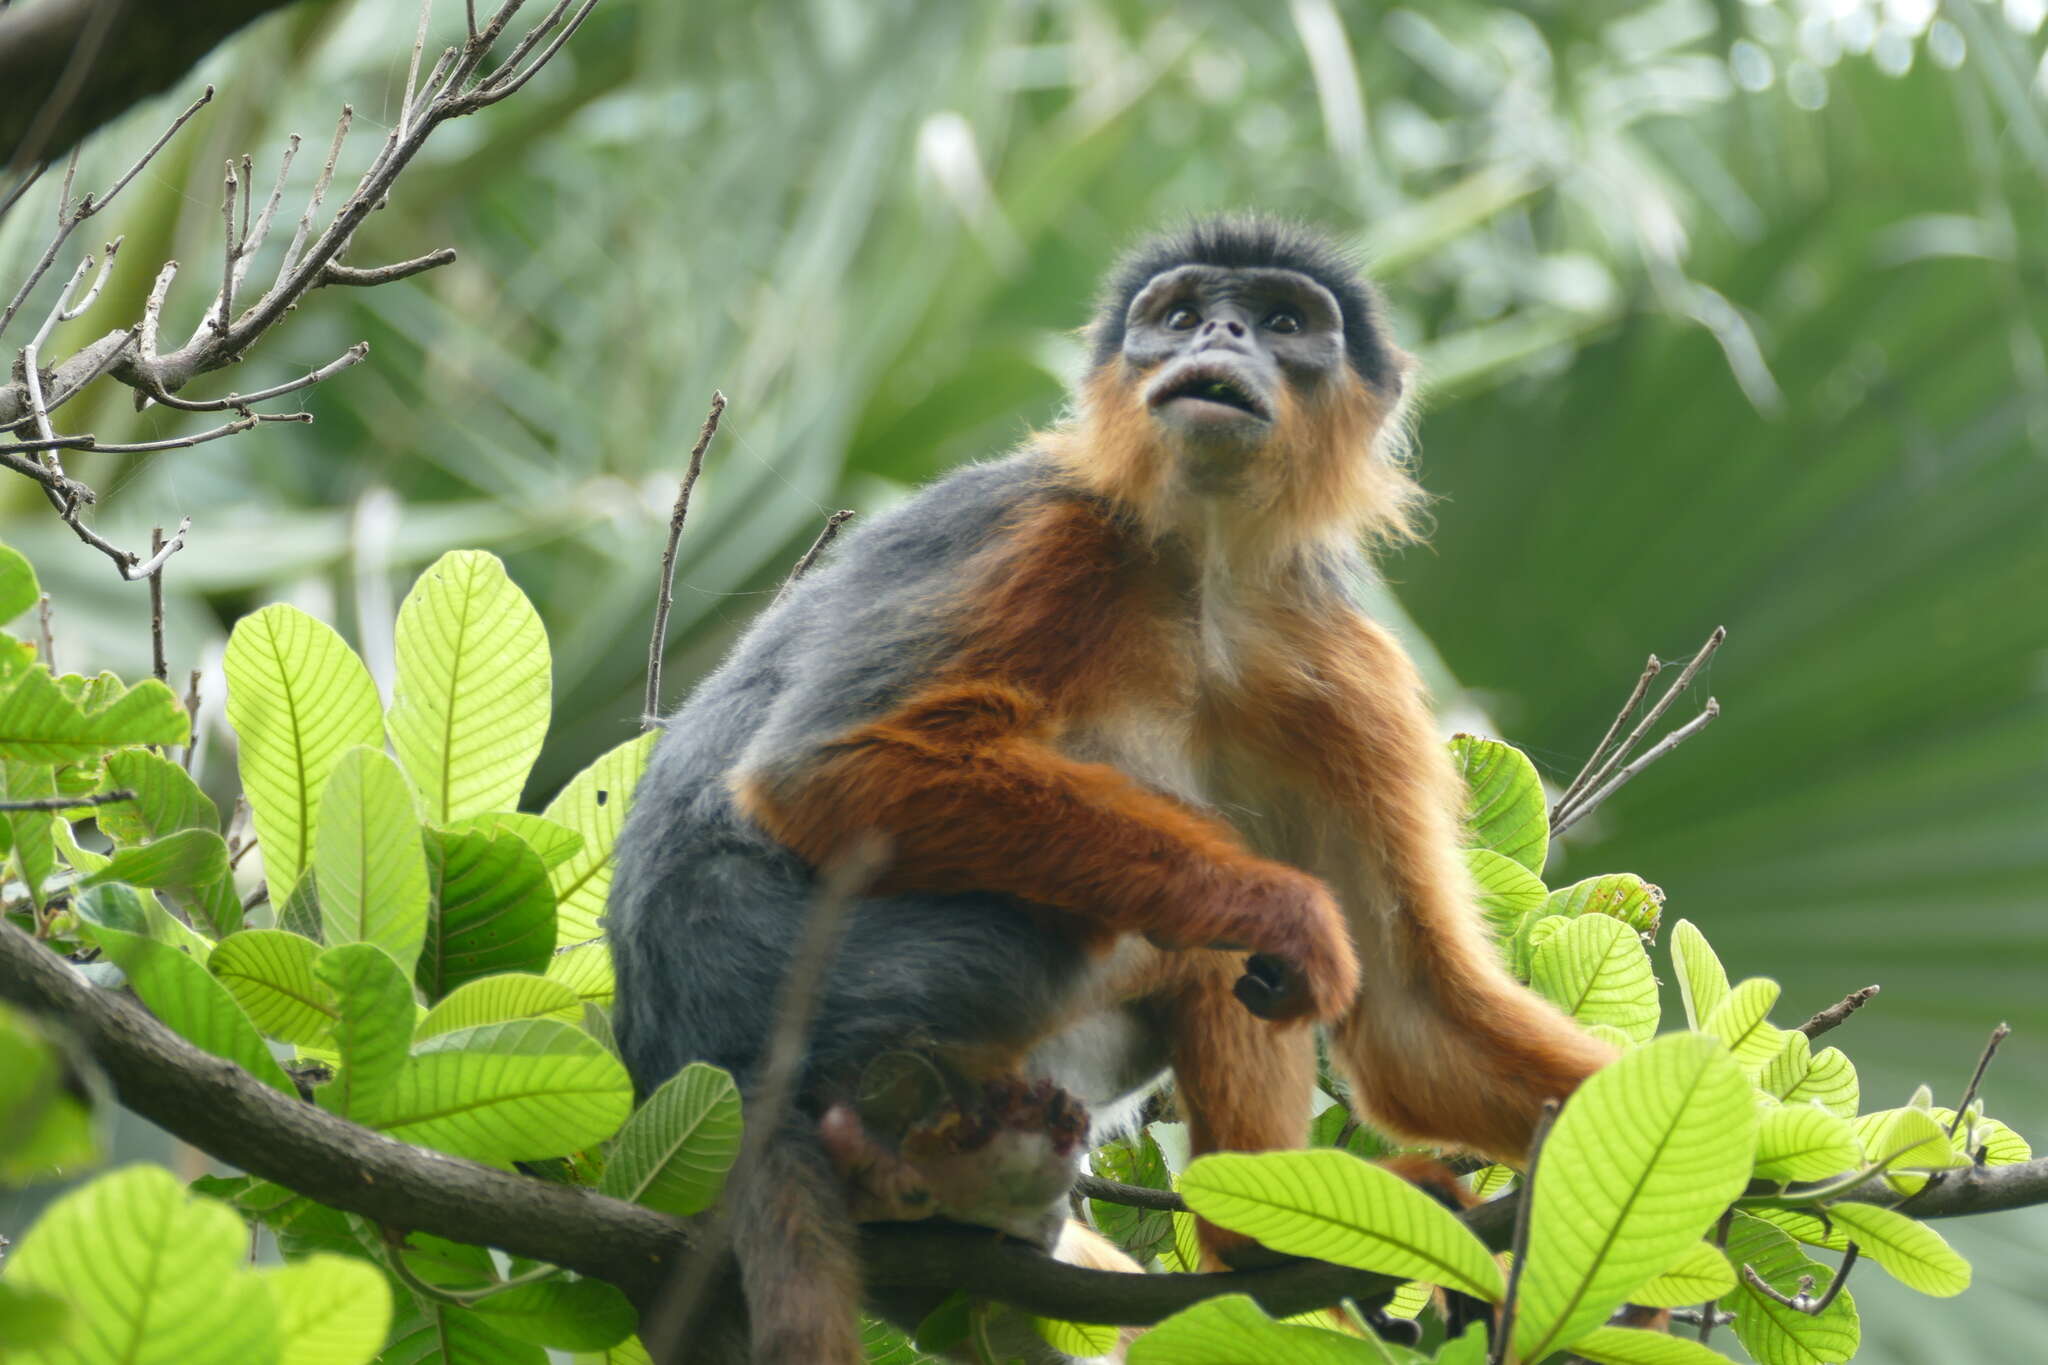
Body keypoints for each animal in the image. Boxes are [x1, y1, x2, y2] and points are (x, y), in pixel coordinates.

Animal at [606, 218, 1613, 1358]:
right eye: (1181, 316)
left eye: (1280, 321)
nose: (1221, 336)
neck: (1204, 571)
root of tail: (707, 1062)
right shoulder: (1041, 528)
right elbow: (820, 770)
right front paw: (1289, 909)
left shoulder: (1337, 659)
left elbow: (1410, 1016)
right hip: (890, 973)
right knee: (1200, 937)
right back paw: (1244, 1232)